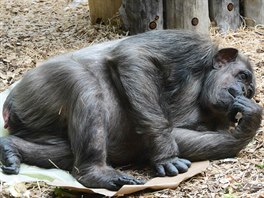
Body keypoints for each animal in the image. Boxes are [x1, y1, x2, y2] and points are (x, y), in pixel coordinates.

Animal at [0, 29, 262, 190]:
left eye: (249, 91)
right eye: (242, 75)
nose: (242, 90)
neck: (203, 82)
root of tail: (10, 108)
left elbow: (182, 137)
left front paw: (251, 119)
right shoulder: (189, 44)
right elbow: (134, 57)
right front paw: (167, 155)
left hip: (36, 125)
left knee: (61, 151)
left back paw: (11, 148)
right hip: (34, 90)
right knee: (84, 85)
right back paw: (96, 173)